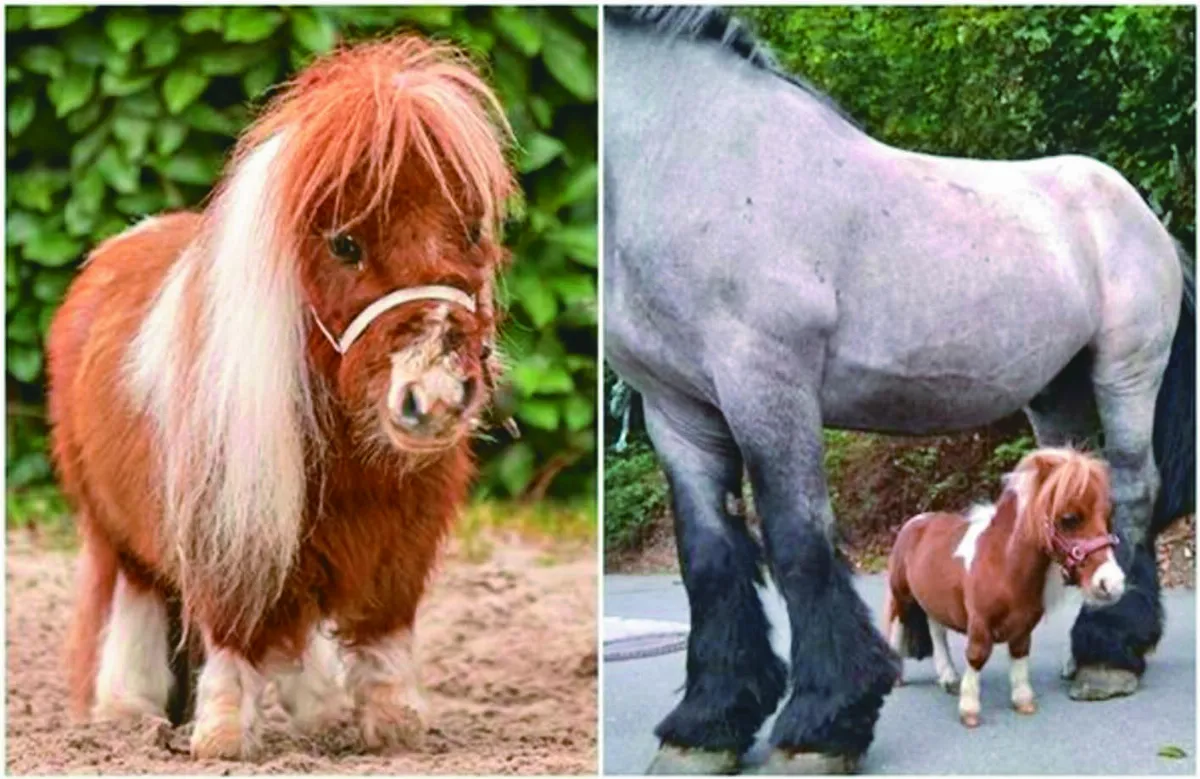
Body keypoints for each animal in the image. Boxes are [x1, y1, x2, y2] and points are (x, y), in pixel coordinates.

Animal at [47, 36, 515, 760]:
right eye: (345, 244)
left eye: (470, 232)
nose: (434, 396)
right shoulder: (228, 527)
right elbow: (232, 634)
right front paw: (221, 736)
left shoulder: (399, 536)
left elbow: (382, 633)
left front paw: (393, 727)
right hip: (113, 526)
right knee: (139, 598)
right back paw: (129, 710)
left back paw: (317, 711)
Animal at [884, 448, 1123, 728]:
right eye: (1069, 518)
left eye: (1107, 517)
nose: (1112, 583)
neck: (1003, 564)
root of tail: (914, 522)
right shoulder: (979, 622)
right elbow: (977, 655)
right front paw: (969, 709)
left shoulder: (1023, 626)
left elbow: (1020, 655)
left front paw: (1023, 701)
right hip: (902, 595)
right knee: (899, 625)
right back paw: (897, 676)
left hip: (932, 599)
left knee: (937, 632)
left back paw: (949, 678)